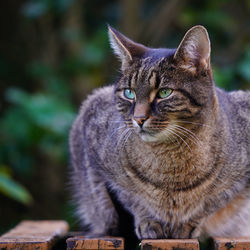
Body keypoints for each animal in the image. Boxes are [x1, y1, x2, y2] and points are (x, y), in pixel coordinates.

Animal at [69, 24, 250, 240]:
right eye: (129, 93)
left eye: (164, 92)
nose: (138, 118)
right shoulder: (92, 133)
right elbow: (131, 197)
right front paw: (148, 221)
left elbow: (212, 202)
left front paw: (188, 224)